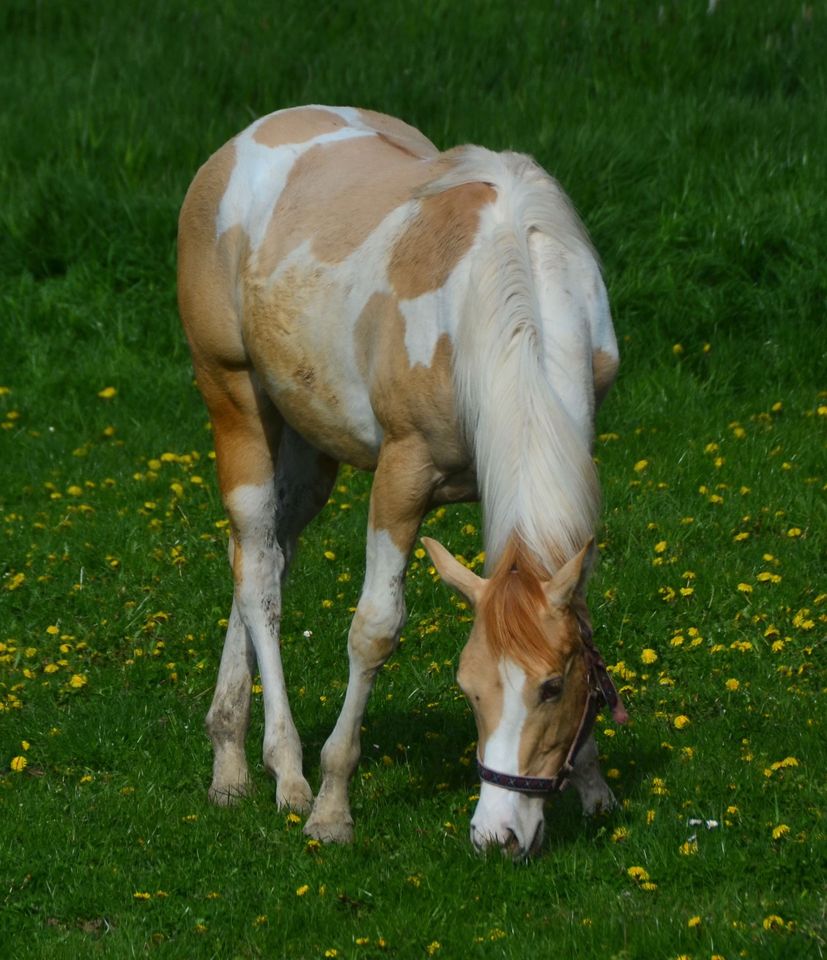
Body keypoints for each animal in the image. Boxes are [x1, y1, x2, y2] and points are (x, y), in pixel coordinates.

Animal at [176, 103, 628, 856]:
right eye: (467, 690)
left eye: (552, 688)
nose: (497, 836)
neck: (512, 290)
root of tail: (238, 144)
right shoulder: (402, 477)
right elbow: (375, 630)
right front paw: (332, 807)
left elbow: (579, 617)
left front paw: (593, 787)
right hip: (233, 402)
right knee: (260, 580)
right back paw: (285, 771)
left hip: (308, 453)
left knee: (262, 557)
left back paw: (228, 761)